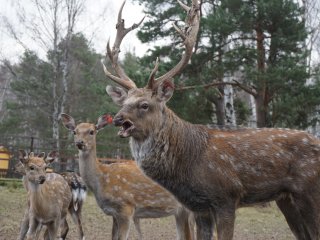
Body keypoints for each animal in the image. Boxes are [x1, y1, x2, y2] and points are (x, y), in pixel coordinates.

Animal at [60, 113, 195, 240]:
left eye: (91, 131)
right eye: (75, 131)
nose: (79, 143)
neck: (102, 179)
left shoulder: (126, 208)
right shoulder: (114, 214)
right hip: (180, 212)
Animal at [103, 0, 320, 239]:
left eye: (144, 105)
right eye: (123, 103)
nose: (118, 119)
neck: (188, 163)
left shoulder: (227, 197)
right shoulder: (198, 207)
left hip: (310, 190)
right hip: (286, 199)